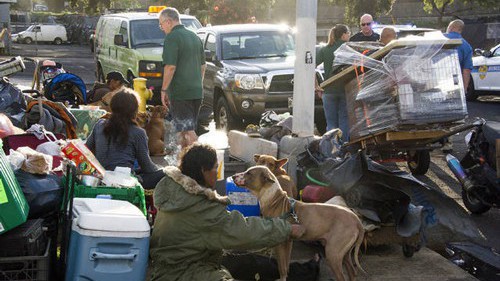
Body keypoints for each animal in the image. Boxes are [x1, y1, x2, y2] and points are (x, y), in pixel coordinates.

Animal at [232, 166, 366, 280]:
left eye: (249, 173)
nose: (233, 176)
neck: (274, 200)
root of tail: (356, 220)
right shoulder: (289, 242)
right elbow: (286, 266)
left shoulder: (280, 243)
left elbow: (281, 267)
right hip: (345, 254)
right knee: (352, 272)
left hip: (333, 253)